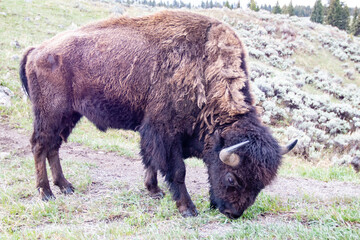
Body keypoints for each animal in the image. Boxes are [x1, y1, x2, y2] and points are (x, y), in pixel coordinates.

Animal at [19, 10, 296, 218]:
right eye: (231, 178)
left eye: (261, 185)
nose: (232, 213)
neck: (205, 70)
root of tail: (37, 50)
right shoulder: (165, 132)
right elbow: (177, 170)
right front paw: (187, 209)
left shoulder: (152, 132)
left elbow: (150, 160)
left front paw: (154, 191)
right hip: (50, 113)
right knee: (39, 145)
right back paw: (46, 193)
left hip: (68, 116)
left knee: (53, 146)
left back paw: (65, 187)